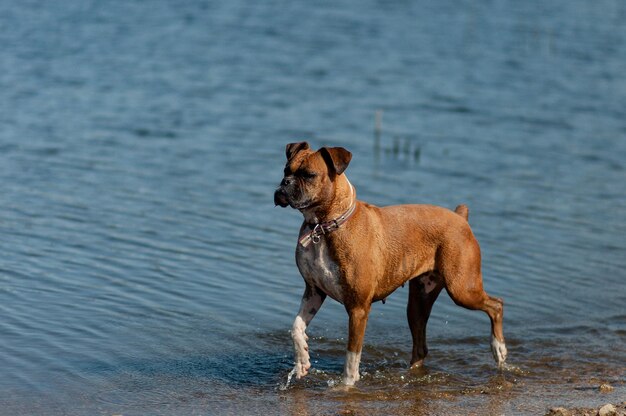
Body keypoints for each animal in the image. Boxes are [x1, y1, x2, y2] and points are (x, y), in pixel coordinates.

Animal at [272, 141, 508, 386]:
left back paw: (499, 350)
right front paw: (302, 360)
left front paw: (346, 387)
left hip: (462, 290)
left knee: (496, 305)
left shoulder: (358, 309)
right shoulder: (314, 291)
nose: (284, 184)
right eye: (285, 170)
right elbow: (296, 326)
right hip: (418, 303)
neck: (325, 228)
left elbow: (352, 358)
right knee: (420, 348)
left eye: (309, 175)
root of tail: (460, 218)